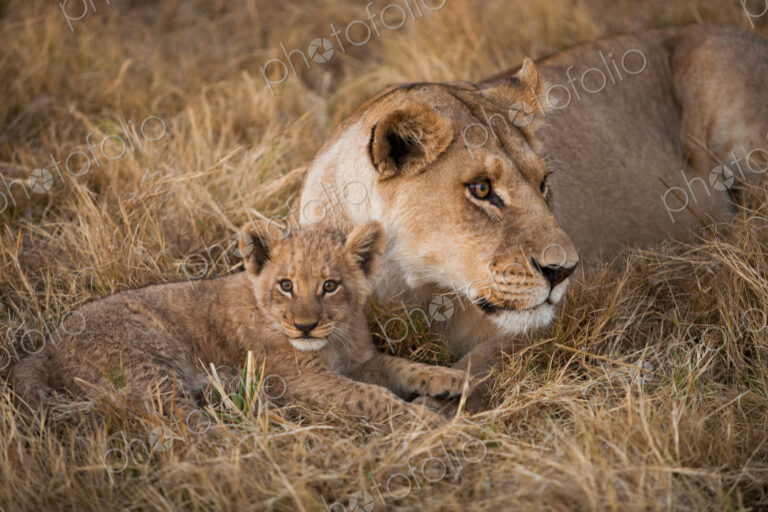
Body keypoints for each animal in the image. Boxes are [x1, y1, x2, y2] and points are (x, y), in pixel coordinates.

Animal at [10, 221, 466, 426]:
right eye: (286, 285)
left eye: (330, 285)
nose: (304, 326)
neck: (333, 340)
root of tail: (46, 346)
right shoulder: (302, 380)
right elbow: (371, 397)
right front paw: (429, 422)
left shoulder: (361, 361)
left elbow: (399, 366)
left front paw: (448, 380)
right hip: (150, 363)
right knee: (181, 421)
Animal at [297, 24, 768, 387]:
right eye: (481, 189)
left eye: (543, 184)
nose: (564, 271)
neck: (406, 286)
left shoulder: (561, 314)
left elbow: (483, 362)